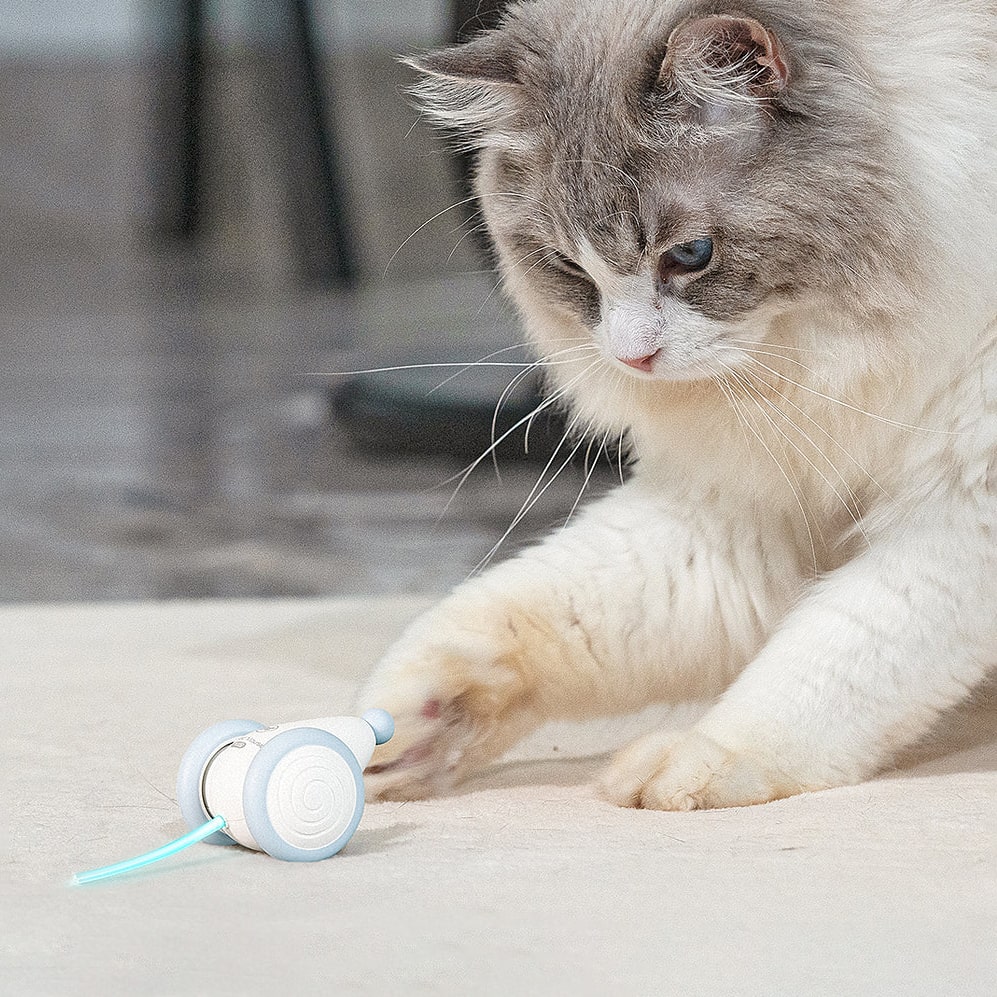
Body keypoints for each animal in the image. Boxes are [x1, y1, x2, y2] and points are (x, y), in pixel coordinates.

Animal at [355, 0, 997, 810]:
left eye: (689, 256)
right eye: (569, 267)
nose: (630, 356)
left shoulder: (962, 511)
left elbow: (830, 658)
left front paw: (697, 760)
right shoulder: (739, 512)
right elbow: (512, 611)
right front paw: (396, 729)